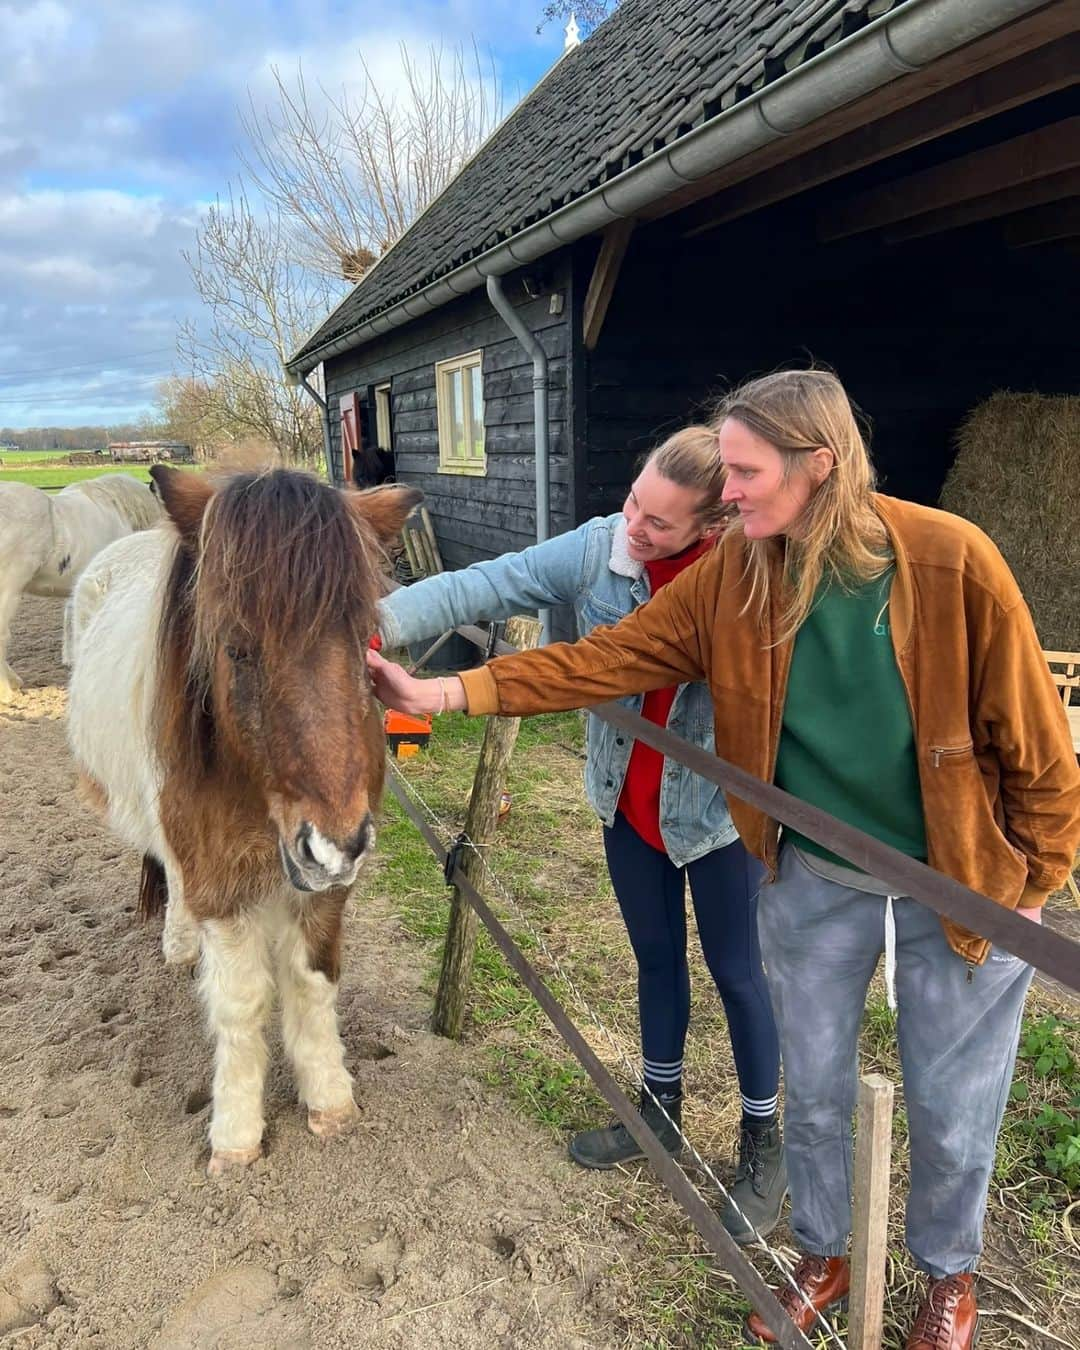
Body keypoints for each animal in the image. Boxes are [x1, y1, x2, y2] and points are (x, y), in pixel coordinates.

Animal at [67, 464, 421, 1171]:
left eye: (364, 638)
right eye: (236, 649)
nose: (337, 846)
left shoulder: (324, 894)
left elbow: (313, 984)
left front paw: (329, 1098)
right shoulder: (219, 880)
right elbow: (242, 1002)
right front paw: (235, 1133)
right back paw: (179, 945)